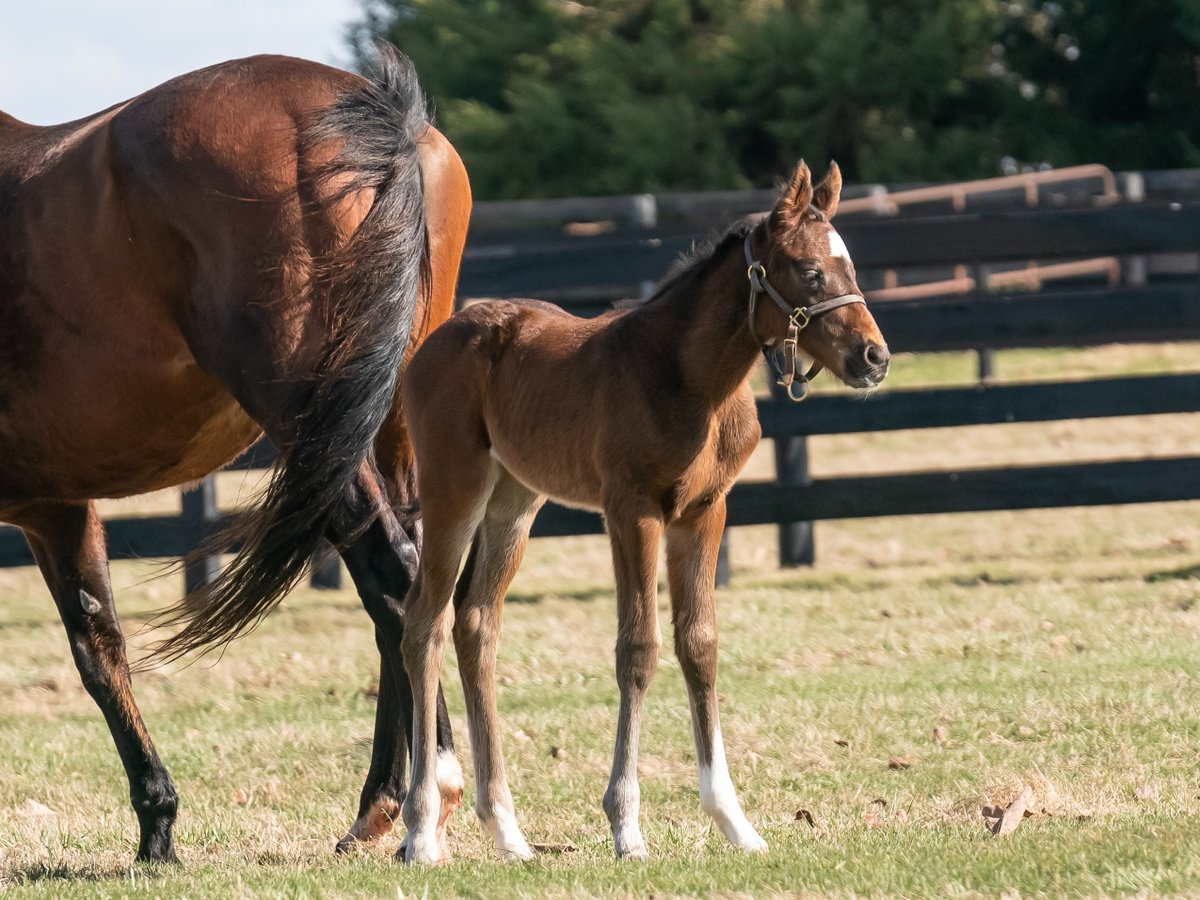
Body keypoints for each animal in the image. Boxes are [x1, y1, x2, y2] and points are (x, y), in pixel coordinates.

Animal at [0, 47, 465, 863]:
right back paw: (377, 808)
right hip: (388, 427)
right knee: (410, 587)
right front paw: (157, 823)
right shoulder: (55, 506)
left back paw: (423, 797)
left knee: (393, 575)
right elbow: (99, 647)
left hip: (313, 426)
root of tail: (377, 112)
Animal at [393, 160, 890, 863]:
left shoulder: (705, 512)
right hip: (454, 491)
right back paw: (419, 829)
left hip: (514, 501)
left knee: (476, 624)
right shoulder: (632, 511)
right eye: (810, 270)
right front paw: (626, 825)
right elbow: (638, 647)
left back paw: (508, 832)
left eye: (849, 266)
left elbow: (699, 643)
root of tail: (435, 341)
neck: (694, 381)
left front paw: (735, 822)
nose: (875, 358)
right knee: (424, 623)